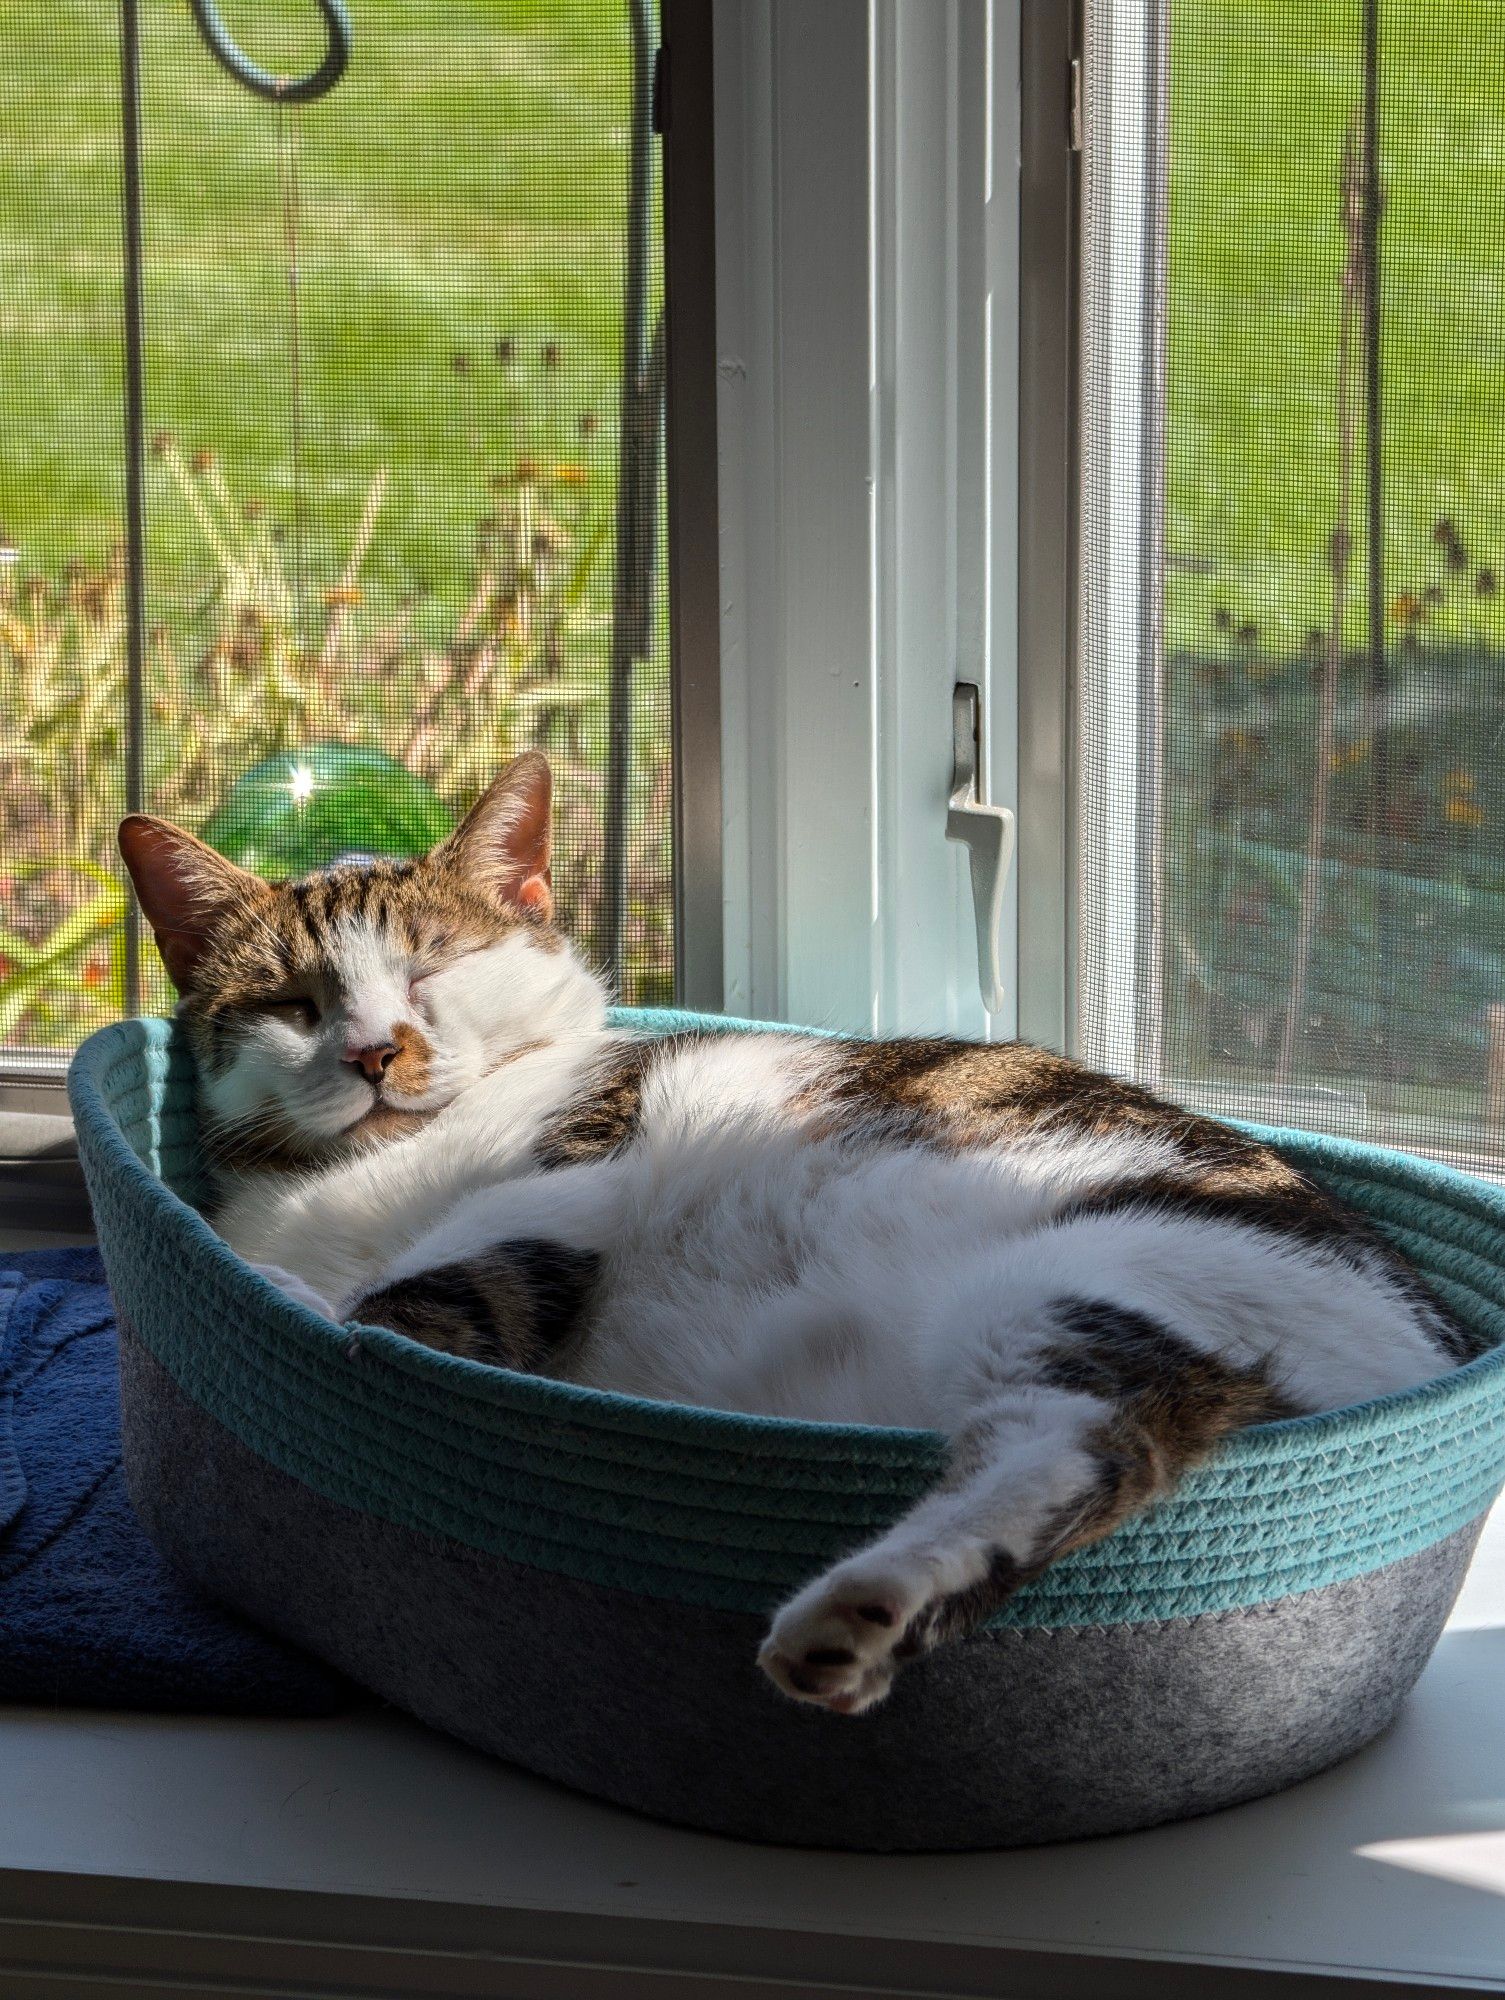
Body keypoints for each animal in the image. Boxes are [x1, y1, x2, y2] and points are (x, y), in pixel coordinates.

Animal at [120, 756, 1480, 1712]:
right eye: (293, 1003)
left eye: (433, 969)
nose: (374, 1050)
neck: (361, 1175)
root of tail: (1426, 1343)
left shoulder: (574, 1172)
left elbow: (421, 1298)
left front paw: (334, 1315)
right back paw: (864, 1623)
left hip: (1087, 1271)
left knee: (1078, 1440)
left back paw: (850, 1603)